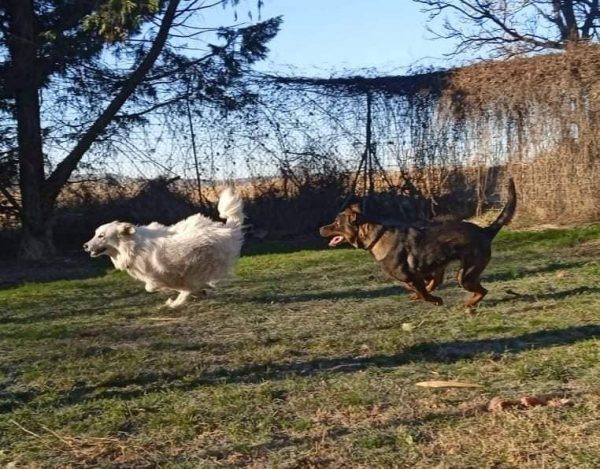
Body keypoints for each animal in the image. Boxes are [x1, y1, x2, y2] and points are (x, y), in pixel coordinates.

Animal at [84, 188, 244, 306]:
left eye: (101, 236)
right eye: (96, 234)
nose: (85, 246)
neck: (132, 246)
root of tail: (226, 230)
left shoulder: (164, 274)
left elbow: (153, 287)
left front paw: (189, 292)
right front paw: (199, 291)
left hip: (197, 264)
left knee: (189, 285)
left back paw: (177, 302)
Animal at [318, 179, 516, 308]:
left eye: (336, 223)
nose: (320, 229)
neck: (377, 237)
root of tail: (485, 230)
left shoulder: (411, 275)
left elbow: (423, 292)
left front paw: (435, 300)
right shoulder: (422, 272)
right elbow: (424, 285)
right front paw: (420, 294)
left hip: (466, 275)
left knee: (482, 291)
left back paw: (467, 304)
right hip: (450, 266)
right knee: (446, 281)